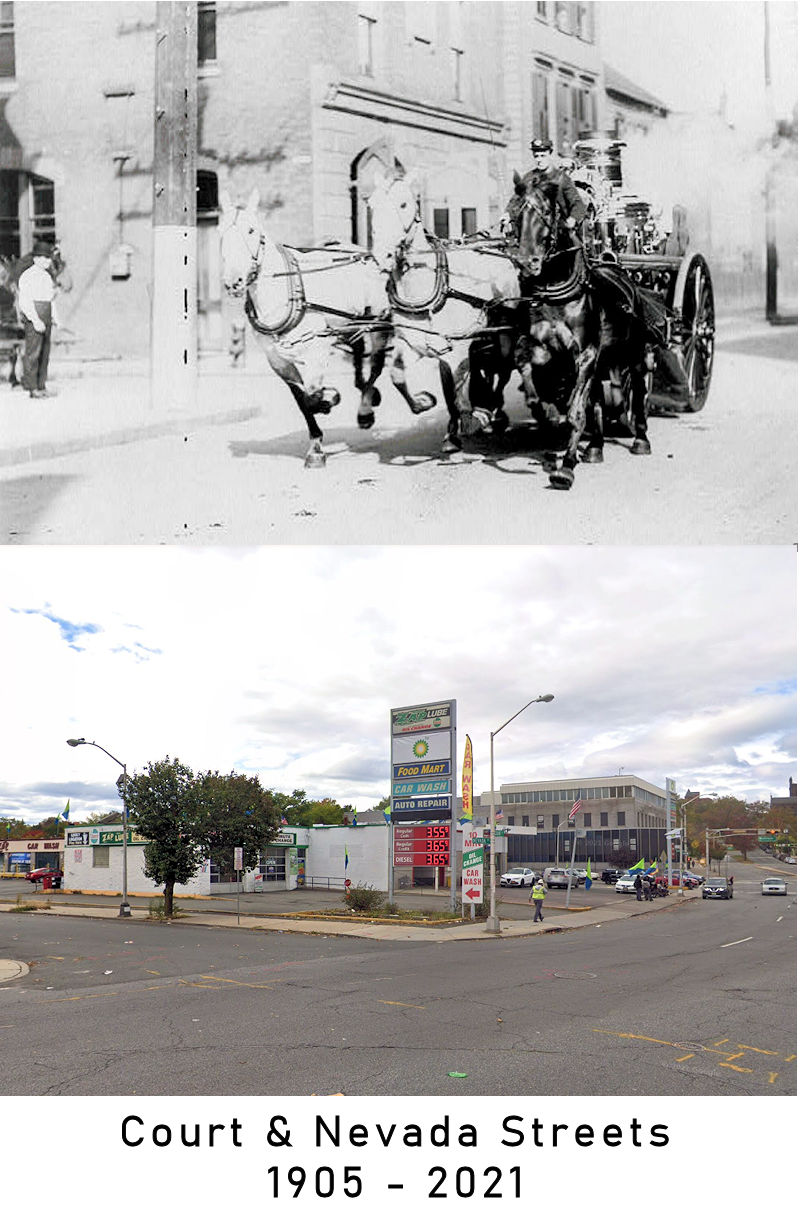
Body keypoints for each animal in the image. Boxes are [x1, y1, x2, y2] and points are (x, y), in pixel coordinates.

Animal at [221, 188, 389, 464]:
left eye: (251, 230)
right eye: (220, 231)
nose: (233, 281)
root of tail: (361, 252)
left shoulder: (316, 349)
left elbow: (311, 393)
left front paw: (329, 400)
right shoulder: (277, 360)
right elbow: (302, 399)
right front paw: (316, 444)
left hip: (379, 323)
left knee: (376, 365)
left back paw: (366, 407)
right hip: (350, 323)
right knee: (357, 354)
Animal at [367, 170, 521, 452]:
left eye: (404, 204)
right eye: (371, 205)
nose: (381, 256)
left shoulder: (458, 347)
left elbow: (458, 392)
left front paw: (472, 419)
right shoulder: (413, 343)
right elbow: (399, 376)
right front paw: (425, 404)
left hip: (505, 329)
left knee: (504, 367)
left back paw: (492, 409)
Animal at [511, 182, 662, 486]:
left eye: (546, 212)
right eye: (515, 214)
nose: (525, 263)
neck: (557, 294)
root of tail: (618, 269)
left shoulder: (586, 353)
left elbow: (576, 411)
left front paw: (566, 467)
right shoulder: (547, 349)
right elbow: (523, 358)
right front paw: (542, 409)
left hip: (634, 352)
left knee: (638, 388)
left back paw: (641, 439)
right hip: (603, 359)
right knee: (597, 397)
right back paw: (595, 447)